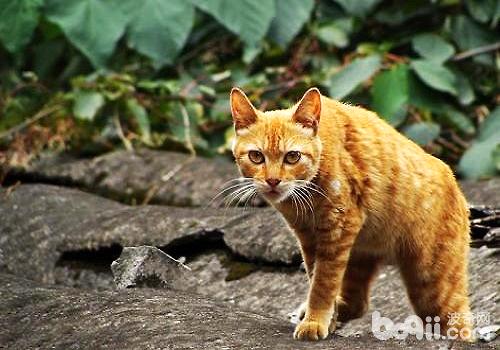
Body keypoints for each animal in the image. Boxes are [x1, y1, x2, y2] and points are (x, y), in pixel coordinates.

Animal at [229, 86, 470, 340]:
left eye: (292, 156)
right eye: (256, 156)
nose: (273, 181)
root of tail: (456, 185)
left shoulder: (337, 228)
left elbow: (323, 284)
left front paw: (314, 322)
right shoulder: (309, 238)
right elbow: (316, 278)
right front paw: (324, 319)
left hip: (432, 285)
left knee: (460, 324)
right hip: (360, 257)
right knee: (358, 304)